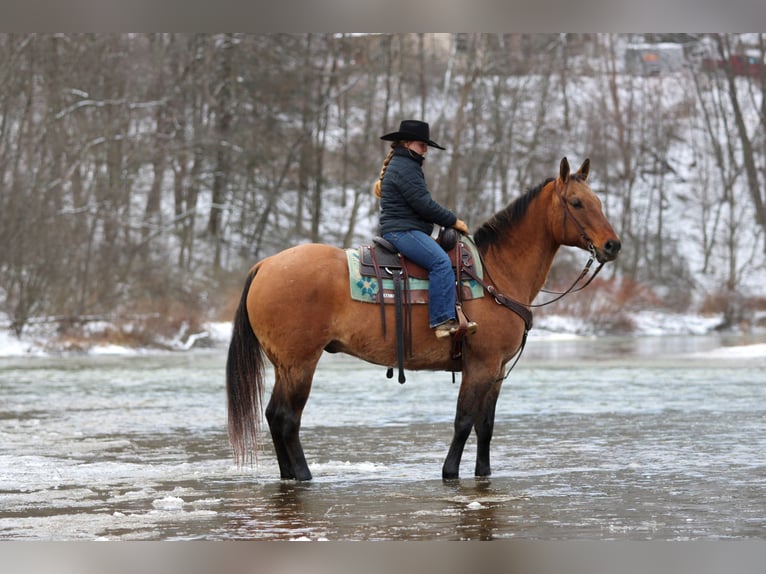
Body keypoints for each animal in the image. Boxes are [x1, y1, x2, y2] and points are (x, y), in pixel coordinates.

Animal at [226, 157, 621, 481]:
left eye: (599, 202)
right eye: (577, 203)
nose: (612, 245)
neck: (496, 273)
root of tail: (266, 265)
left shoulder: (495, 371)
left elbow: (486, 425)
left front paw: (483, 473)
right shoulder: (481, 365)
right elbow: (464, 421)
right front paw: (449, 472)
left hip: (285, 365)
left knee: (274, 416)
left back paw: (289, 476)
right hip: (300, 363)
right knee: (287, 418)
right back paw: (305, 476)